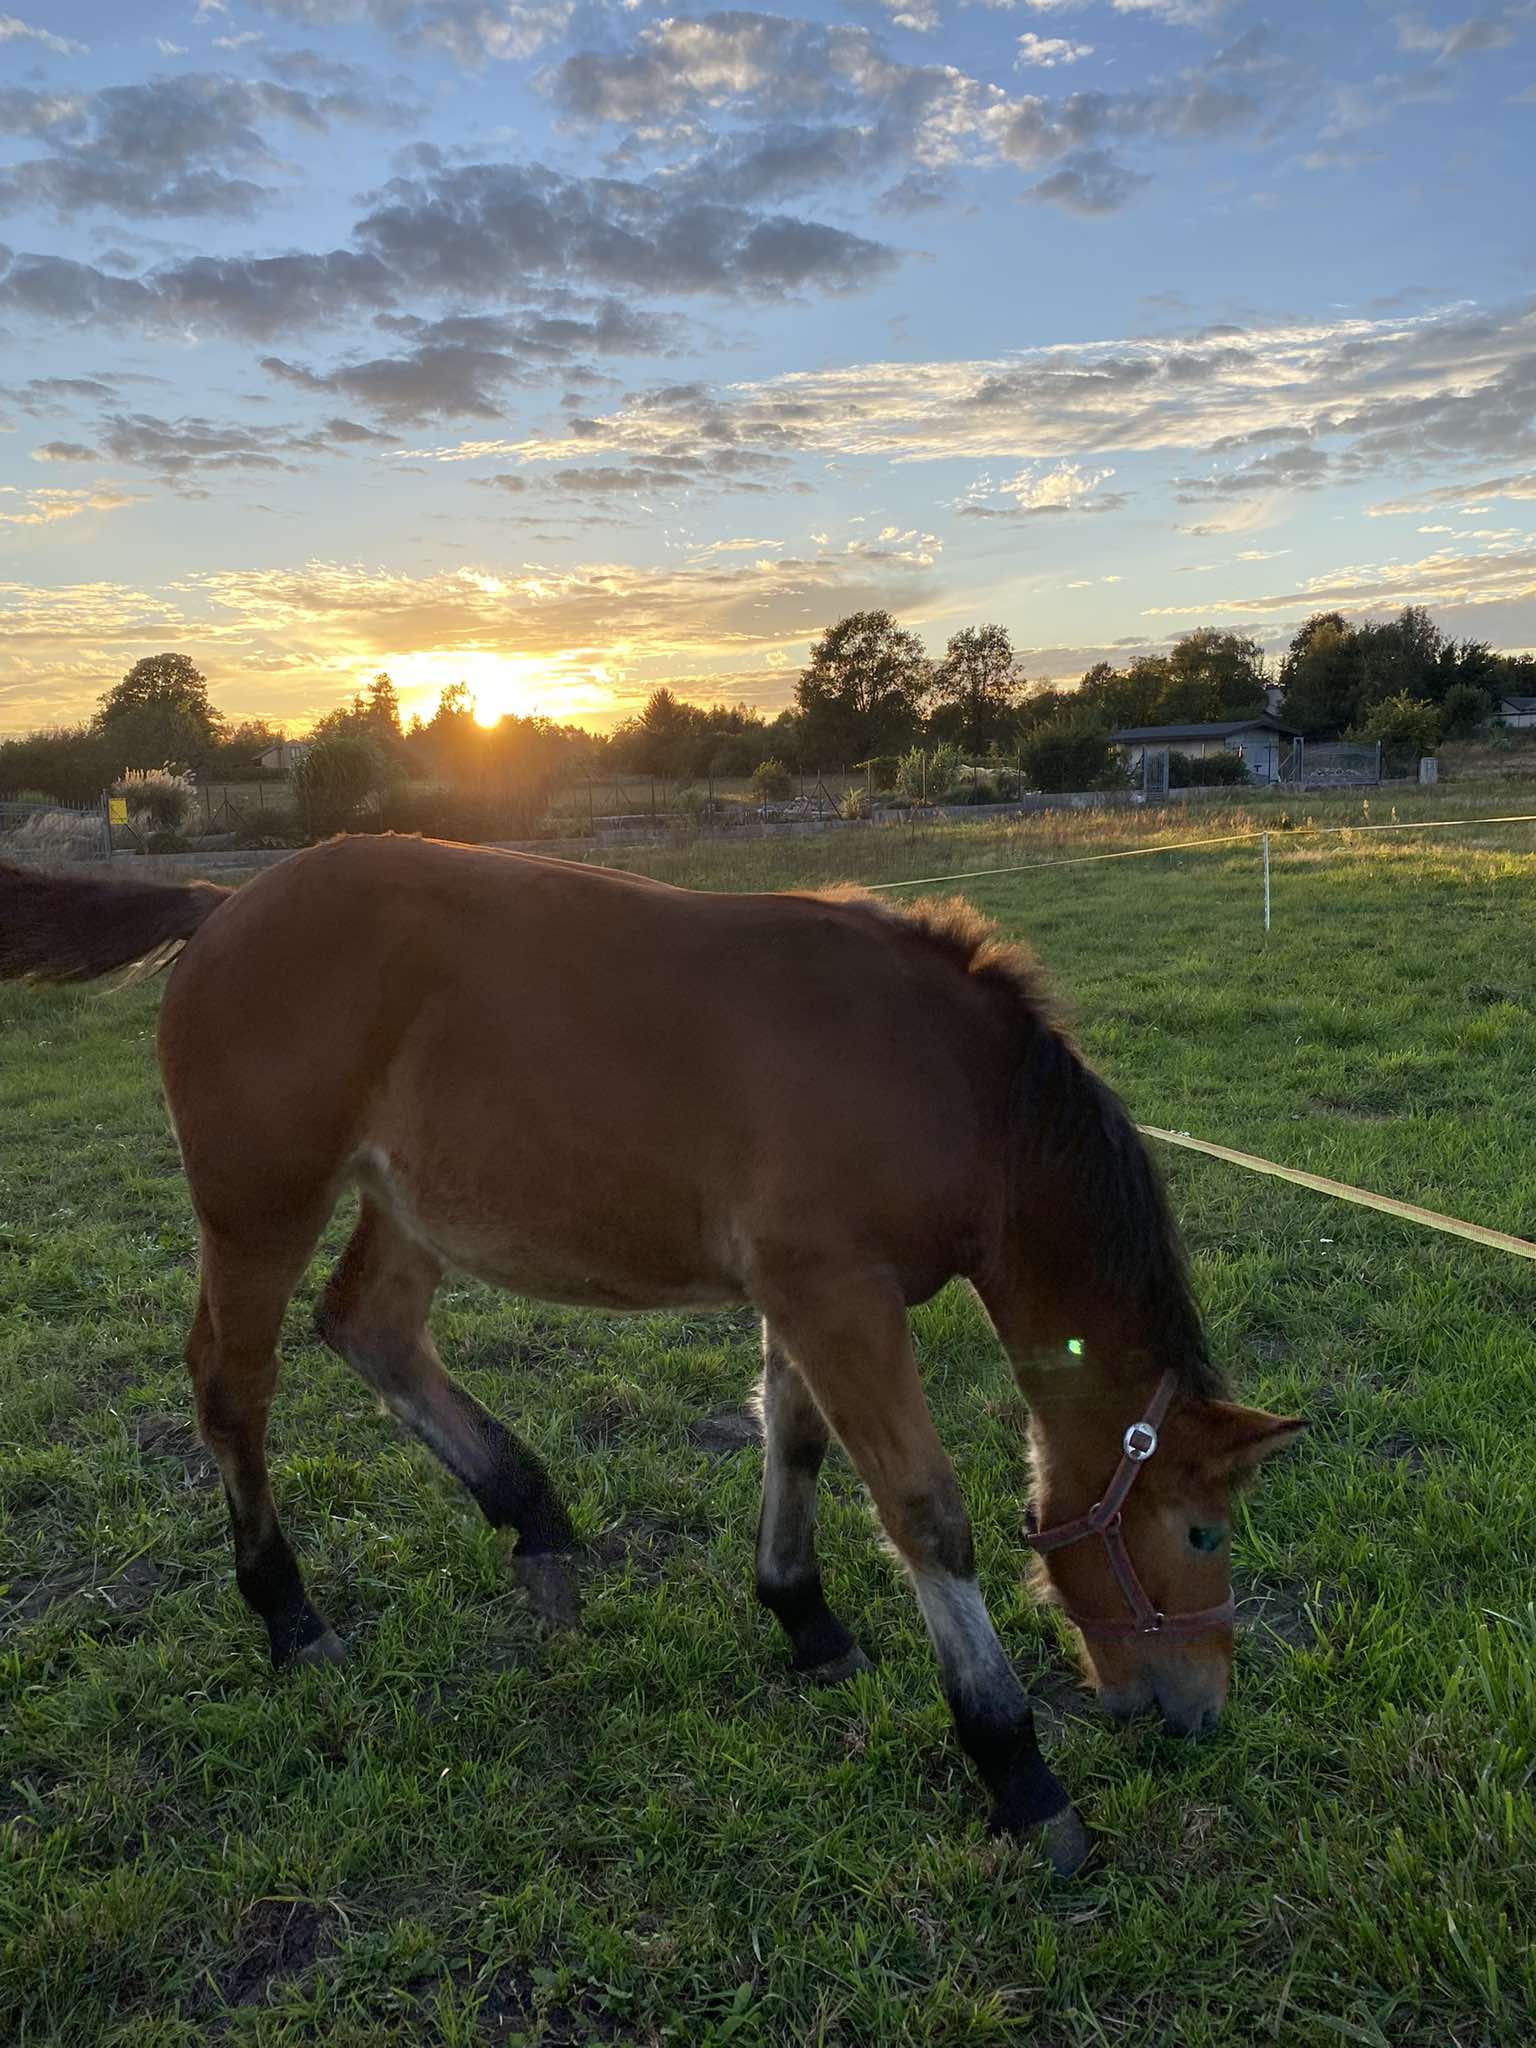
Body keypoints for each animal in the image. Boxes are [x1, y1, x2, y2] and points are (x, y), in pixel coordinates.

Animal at [0, 831, 1302, 1875]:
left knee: (371, 1326)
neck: (945, 1083)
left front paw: (804, 1617)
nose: (1200, 1709)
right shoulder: (839, 1294)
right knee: (236, 1382)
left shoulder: (805, 1293)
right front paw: (1018, 1772)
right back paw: (287, 1608)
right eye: (1202, 1533)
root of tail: (220, 902)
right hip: (259, 1208)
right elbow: (926, 1512)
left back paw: (531, 1515)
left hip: (416, 1202)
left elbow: (794, 1439)